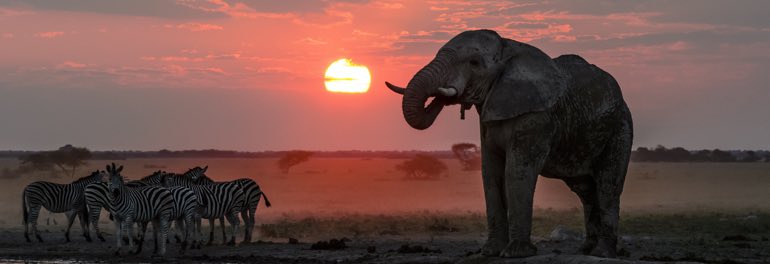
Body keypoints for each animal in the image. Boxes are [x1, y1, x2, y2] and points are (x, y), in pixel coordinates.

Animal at [384, 29, 632, 258]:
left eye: (474, 63)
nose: (444, 96)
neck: (508, 47)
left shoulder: (537, 117)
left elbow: (516, 171)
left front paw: (516, 253)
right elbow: (490, 172)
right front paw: (491, 251)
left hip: (620, 128)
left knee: (607, 185)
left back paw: (602, 253)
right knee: (586, 190)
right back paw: (586, 250)